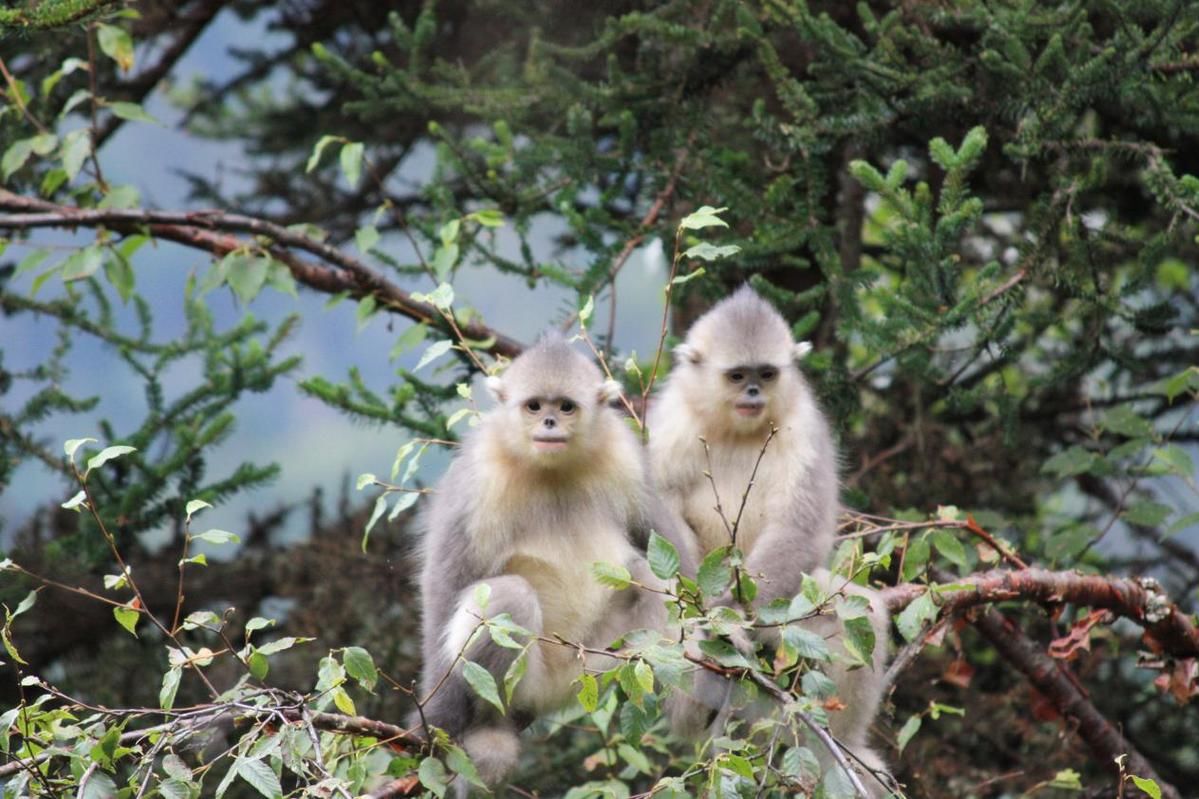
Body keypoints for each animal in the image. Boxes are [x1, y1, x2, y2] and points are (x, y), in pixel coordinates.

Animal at [412, 328, 685, 791]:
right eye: (535, 406)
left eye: (567, 406)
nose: (550, 423)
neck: (551, 470)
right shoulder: (477, 476)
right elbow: (446, 583)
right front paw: (439, 722)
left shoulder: (626, 459)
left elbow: (671, 552)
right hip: (530, 679)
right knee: (508, 597)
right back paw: (489, 729)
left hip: (592, 665)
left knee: (647, 575)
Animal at [647, 284, 892, 791]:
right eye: (737, 375)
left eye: (766, 373)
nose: (754, 392)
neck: (734, 430)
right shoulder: (670, 426)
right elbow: (658, 521)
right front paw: (713, 627)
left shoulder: (805, 429)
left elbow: (798, 529)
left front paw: (729, 624)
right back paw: (694, 707)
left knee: (857, 611)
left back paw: (846, 754)